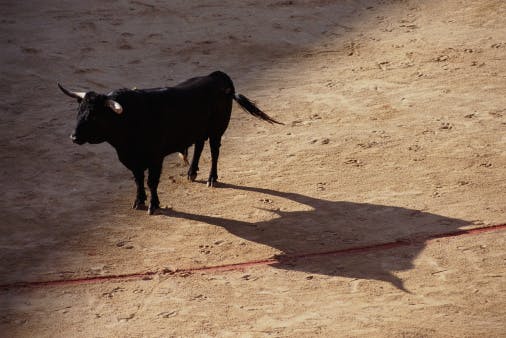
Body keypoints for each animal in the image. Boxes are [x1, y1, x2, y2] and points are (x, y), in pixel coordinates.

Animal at [59, 70, 282, 214]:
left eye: (95, 116)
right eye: (79, 111)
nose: (73, 137)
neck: (130, 120)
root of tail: (217, 76)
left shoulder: (155, 158)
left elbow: (151, 181)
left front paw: (154, 205)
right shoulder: (132, 160)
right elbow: (138, 180)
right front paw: (139, 201)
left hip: (217, 130)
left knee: (214, 150)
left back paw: (212, 178)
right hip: (197, 129)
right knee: (199, 146)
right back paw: (191, 173)